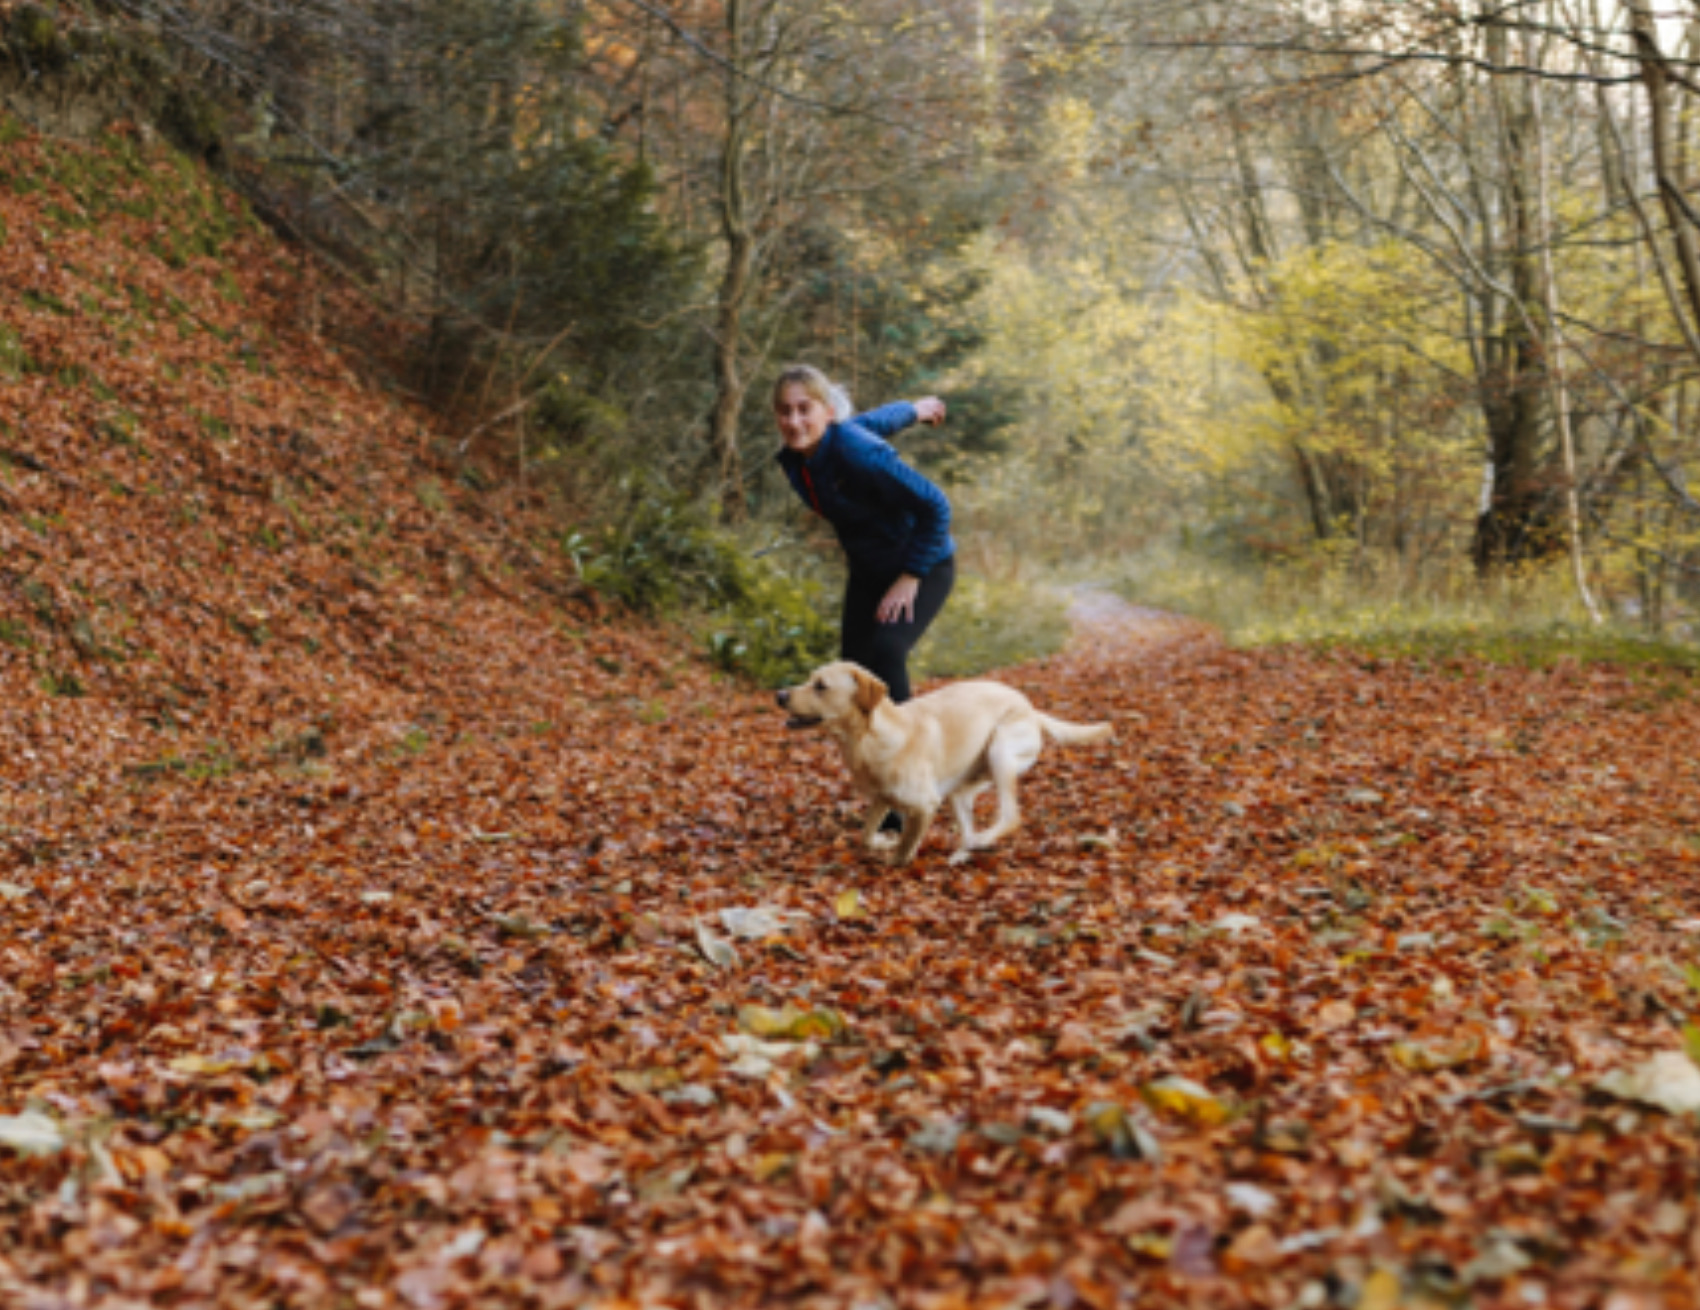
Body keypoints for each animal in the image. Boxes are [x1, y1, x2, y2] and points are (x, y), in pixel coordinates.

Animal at [775, 662, 1115, 866]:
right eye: (810, 679)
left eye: (820, 685)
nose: (779, 694)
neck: (870, 738)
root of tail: (1031, 708)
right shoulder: (882, 799)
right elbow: (867, 835)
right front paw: (883, 842)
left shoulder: (925, 805)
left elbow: (904, 851)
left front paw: (894, 861)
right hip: (960, 792)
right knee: (970, 826)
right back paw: (965, 852)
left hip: (1000, 751)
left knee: (1010, 816)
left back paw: (982, 839)